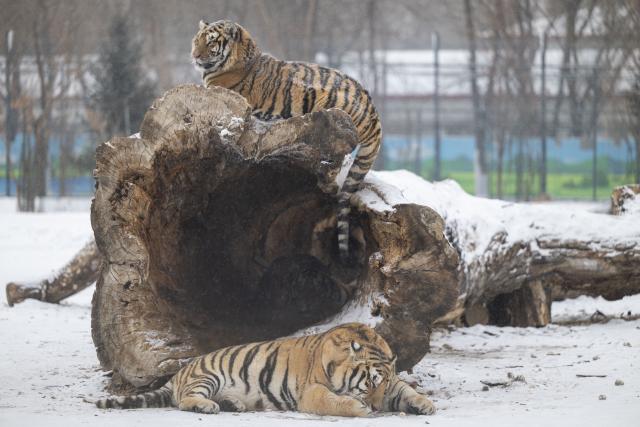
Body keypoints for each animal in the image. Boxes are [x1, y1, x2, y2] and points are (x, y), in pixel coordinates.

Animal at [95, 323, 435, 417]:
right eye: (369, 384)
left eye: (381, 385)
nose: (378, 408)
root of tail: (179, 372)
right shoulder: (312, 392)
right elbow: (334, 401)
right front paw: (358, 407)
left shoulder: (393, 383)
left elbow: (406, 389)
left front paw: (425, 404)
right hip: (205, 376)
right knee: (185, 400)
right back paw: (208, 407)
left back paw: (232, 404)